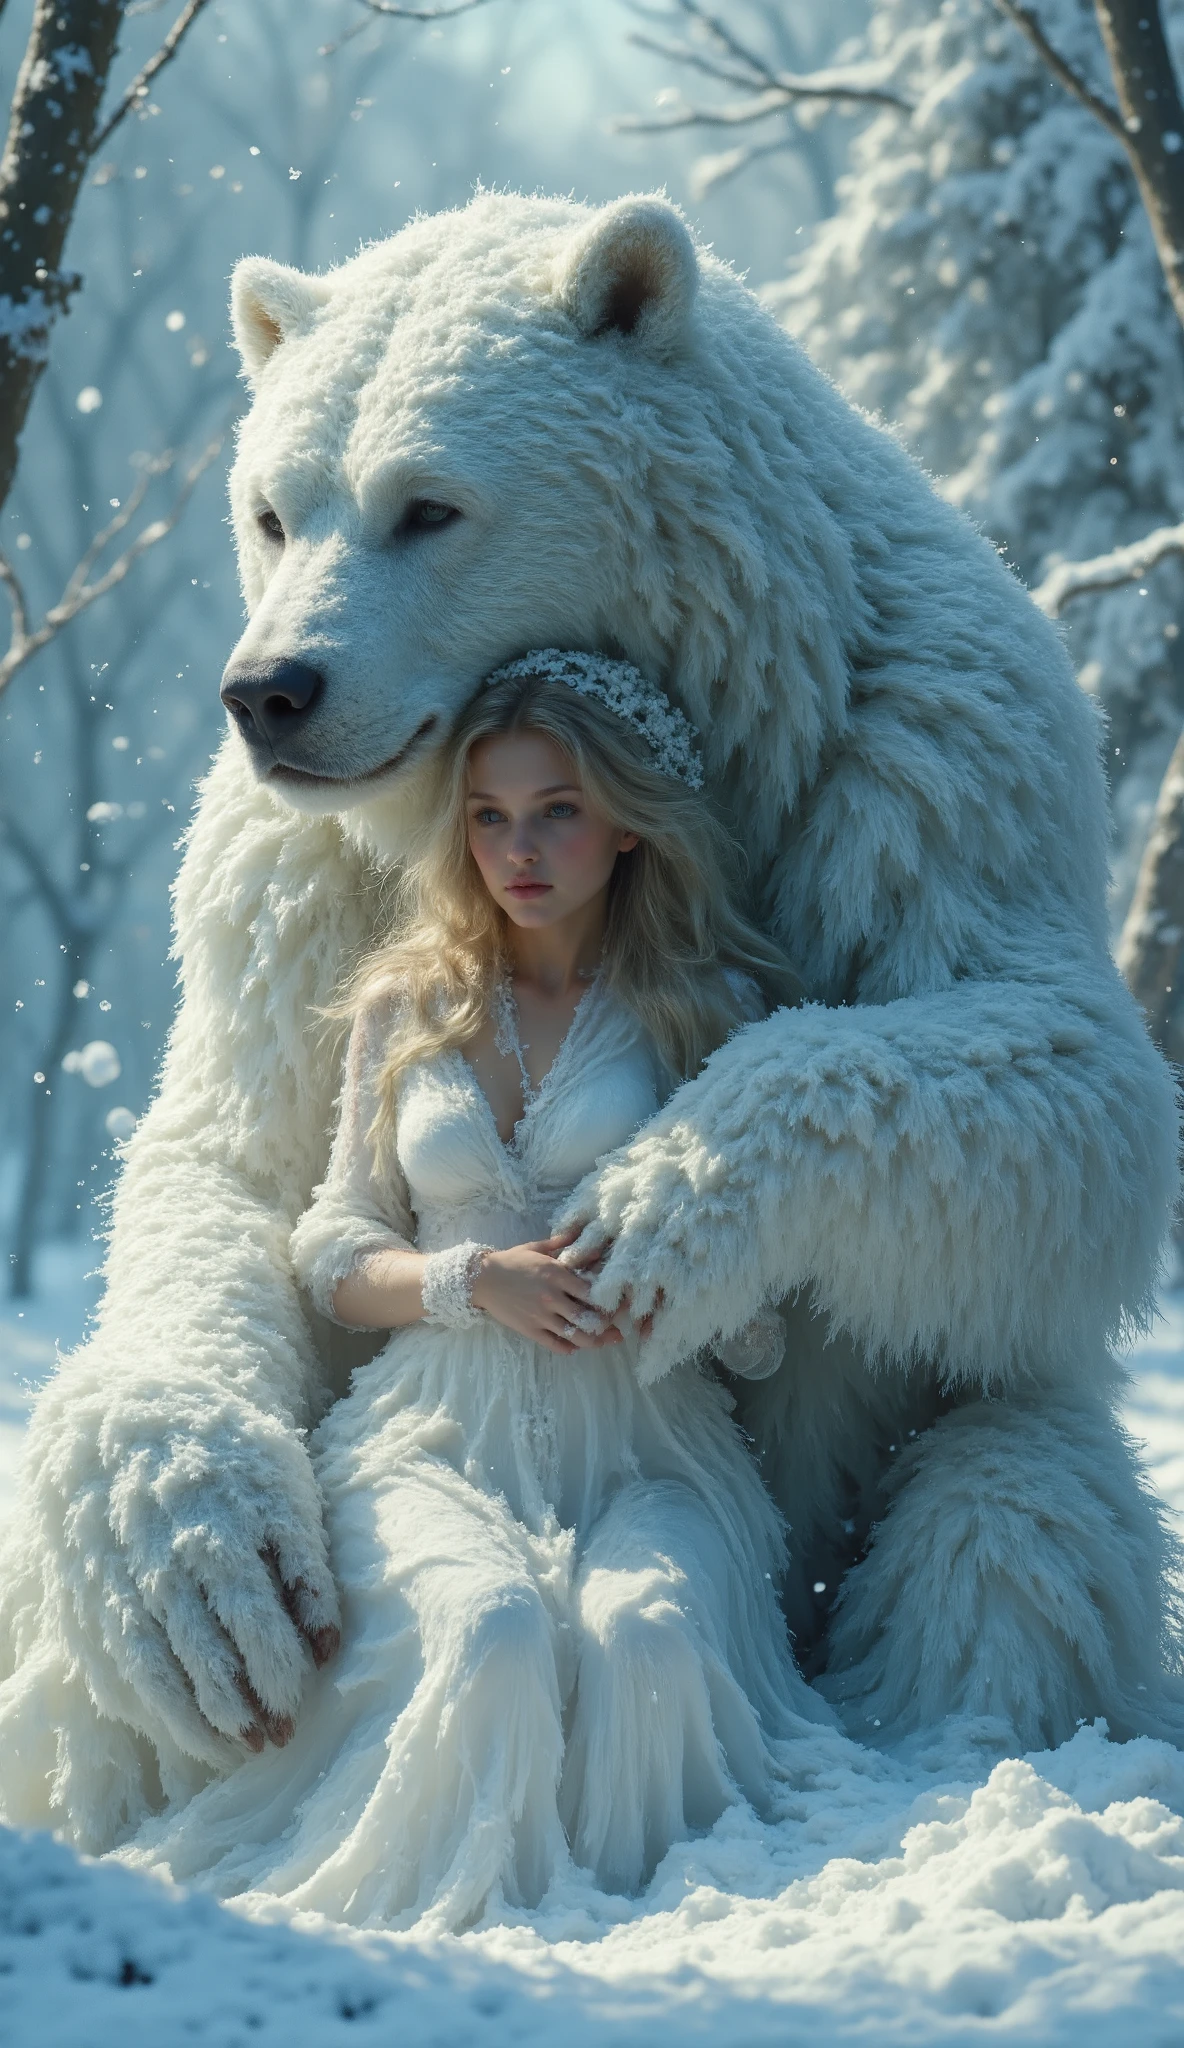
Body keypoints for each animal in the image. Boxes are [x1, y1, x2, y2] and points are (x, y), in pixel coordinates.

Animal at [2, 195, 1179, 1859]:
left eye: (428, 505)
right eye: (273, 510)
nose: (271, 692)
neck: (727, 694)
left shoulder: (922, 767)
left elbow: (1070, 1086)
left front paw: (659, 1212)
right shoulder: (303, 882)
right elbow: (241, 1157)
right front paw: (211, 1581)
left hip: (936, 1468)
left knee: (1014, 1522)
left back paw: (947, 1739)